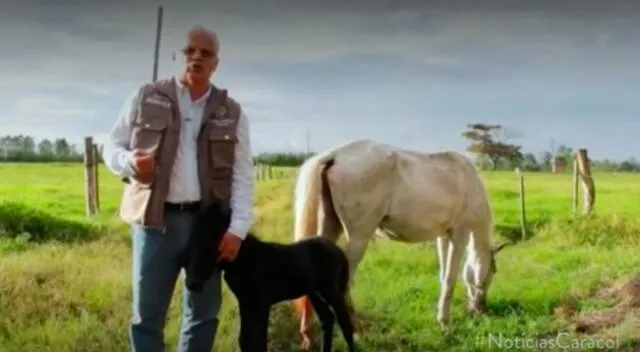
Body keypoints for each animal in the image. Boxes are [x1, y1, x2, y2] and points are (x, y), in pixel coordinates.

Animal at [178, 202, 358, 352]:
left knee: (344, 322)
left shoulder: (261, 303)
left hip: (330, 289)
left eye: (212, 244)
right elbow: (245, 340)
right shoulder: (246, 303)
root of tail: (335, 248)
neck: (247, 259)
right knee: (327, 318)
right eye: (192, 239)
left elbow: (259, 340)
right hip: (312, 290)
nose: (192, 284)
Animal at [292, 139, 512, 348]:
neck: (469, 180)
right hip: (359, 238)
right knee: (345, 284)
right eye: (492, 273)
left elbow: (443, 276)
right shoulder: (460, 234)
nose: (480, 309)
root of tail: (334, 156)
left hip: (330, 228)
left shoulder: (443, 236)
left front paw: (440, 316)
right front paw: (445, 322)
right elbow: (450, 277)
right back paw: (358, 331)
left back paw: (309, 334)